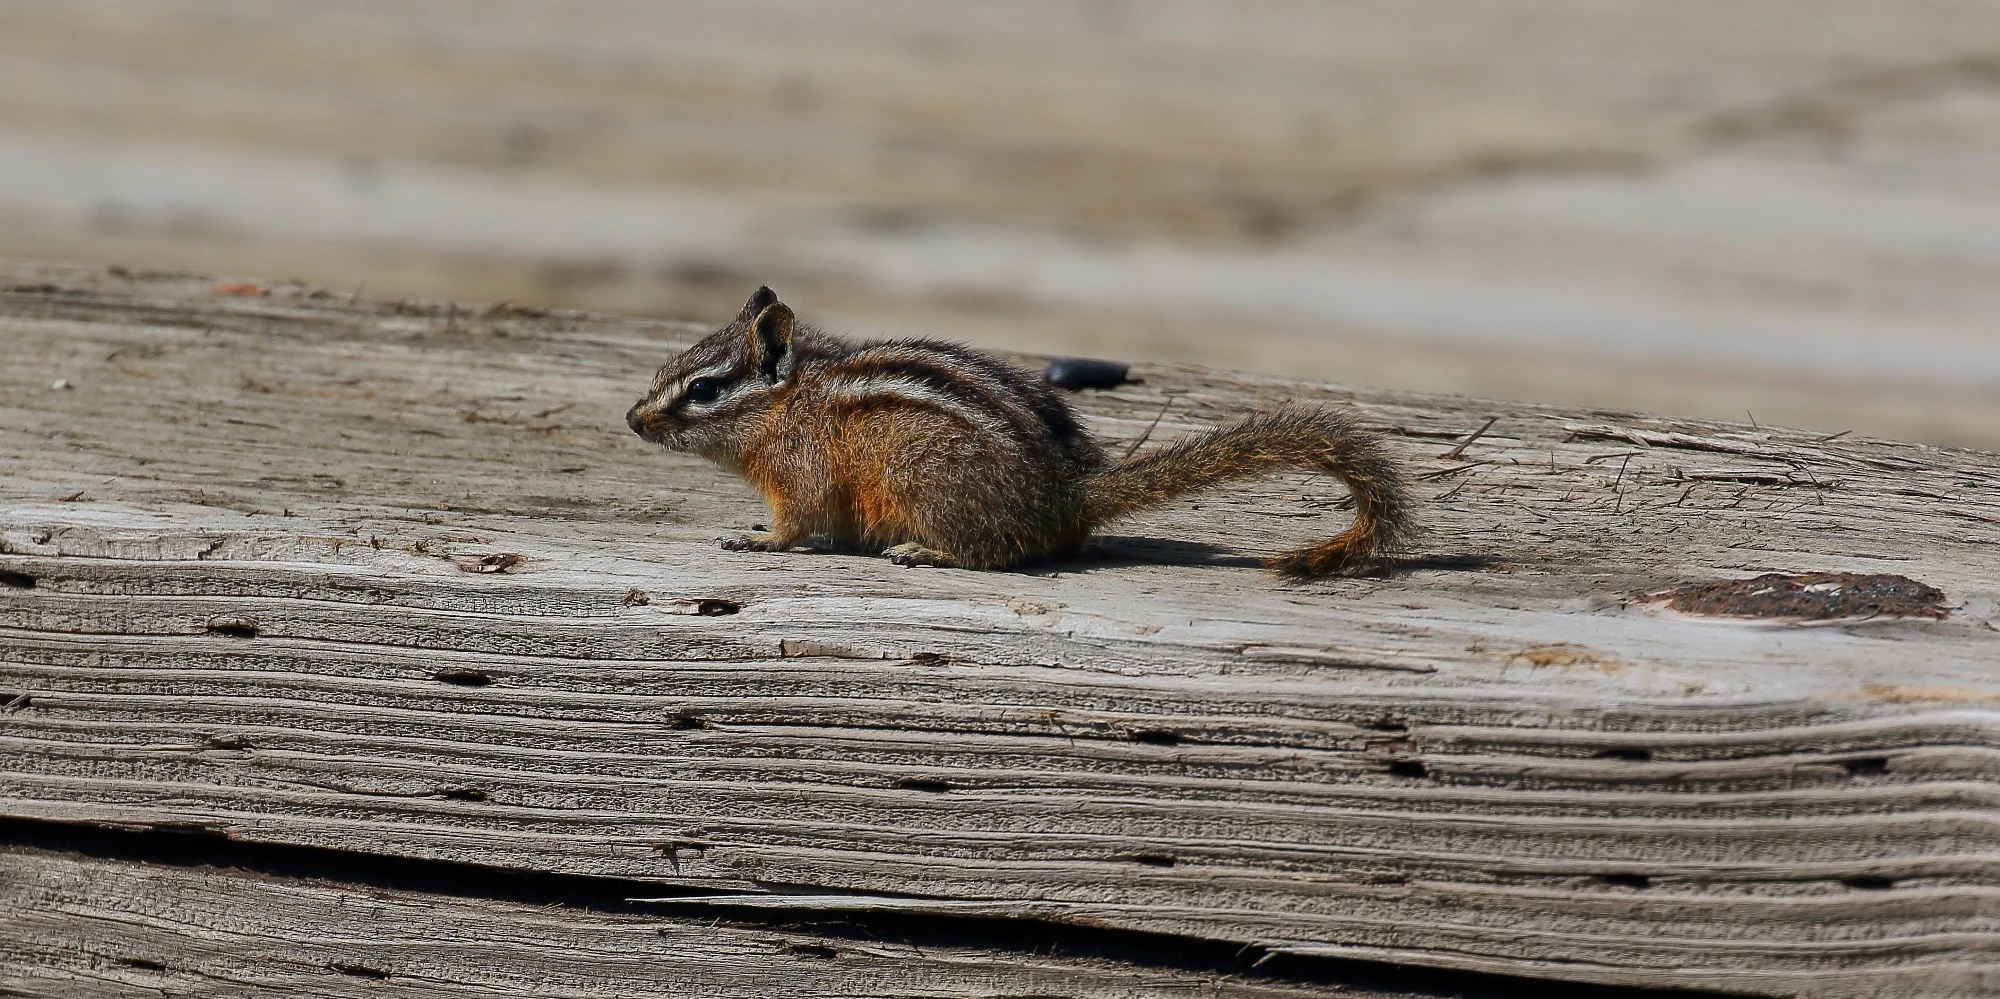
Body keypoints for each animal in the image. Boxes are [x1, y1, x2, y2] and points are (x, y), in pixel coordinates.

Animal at [626, 287, 1411, 578]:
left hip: (923, 481)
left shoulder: (802, 477)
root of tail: (1064, 493)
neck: (789, 404)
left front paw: (757, 539)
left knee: (994, 552)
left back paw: (924, 551)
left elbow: (796, 524)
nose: (634, 418)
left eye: (703, 390)